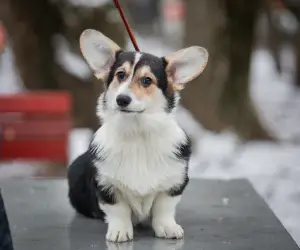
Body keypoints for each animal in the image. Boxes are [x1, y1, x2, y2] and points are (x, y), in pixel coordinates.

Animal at [67, 28, 209, 242]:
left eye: (147, 80)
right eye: (120, 75)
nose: (122, 99)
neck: (137, 133)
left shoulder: (173, 184)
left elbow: (164, 208)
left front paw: (167, 227)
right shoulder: (107, 186)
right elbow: (118, 210)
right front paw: (119, 230)